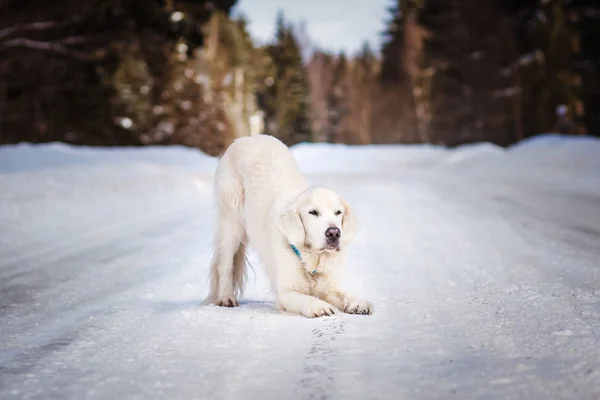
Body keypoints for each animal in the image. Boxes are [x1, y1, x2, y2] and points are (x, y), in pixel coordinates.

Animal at [206, 136, 376, 318]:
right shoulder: (286, 292)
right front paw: (319, 306)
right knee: (225, 265)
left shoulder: (330, 285)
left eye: (338, 212)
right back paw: (226, 298)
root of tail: (245, 138)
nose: (334, 233)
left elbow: (343, 294)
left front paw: (358, 303)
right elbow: (306, 299)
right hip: (232, 224)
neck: (312, 259)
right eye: (313, 212)